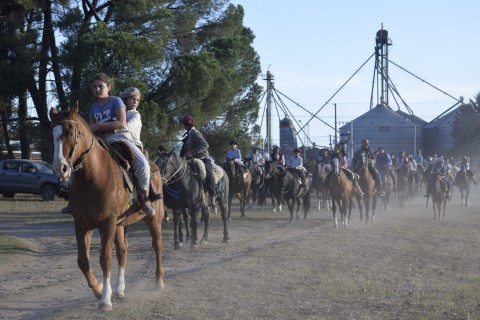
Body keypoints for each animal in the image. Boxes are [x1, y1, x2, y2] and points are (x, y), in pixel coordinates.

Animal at [49, 106, 164, 312]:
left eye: (70, 133)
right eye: (51, 134)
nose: (59, 168)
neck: (93, 177)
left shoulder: (107, 222)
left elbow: (105, 259)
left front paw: (105, 300)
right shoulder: (82, 224)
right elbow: (83, 261)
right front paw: (98, 289)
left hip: (153, 219)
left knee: (157, 245)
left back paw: (158, 282)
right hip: (120, 225)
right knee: (123, 252)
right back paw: (119, 290)